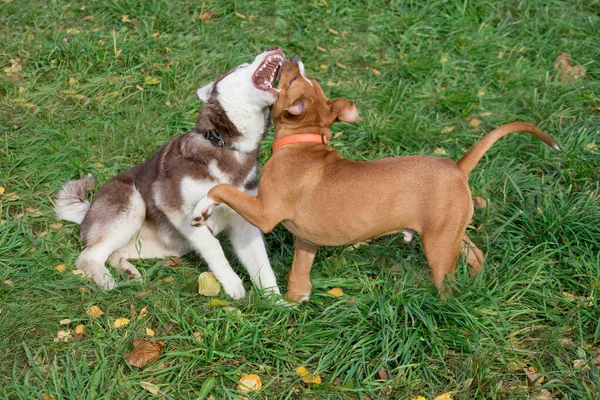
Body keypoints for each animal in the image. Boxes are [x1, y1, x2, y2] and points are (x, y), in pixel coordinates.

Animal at [53, 47, 284, 298]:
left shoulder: (244, 224)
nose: (275, 48)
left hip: (165, 247)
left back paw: (128, 271)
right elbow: (213, 246)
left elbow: (263, 267)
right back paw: (105, 279)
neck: (227, 147)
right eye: (241, 66)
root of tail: (88, 211)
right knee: (87, 256)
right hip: (133, 204)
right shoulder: (175, 207)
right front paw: (232, 282)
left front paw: (277, 303)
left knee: (113, 254)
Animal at [191, 57, 556, 304]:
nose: (293, 58)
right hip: (450, 230)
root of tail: (457, 167)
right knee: (475, 253)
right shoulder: (307, 240)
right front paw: (294, 304)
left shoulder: (265, 212)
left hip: (438, 248)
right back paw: (477, 284)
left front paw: (201, 208)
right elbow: (298, 275)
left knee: (448, 283)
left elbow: (221, 188)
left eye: (294, 76)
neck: (303, 142)